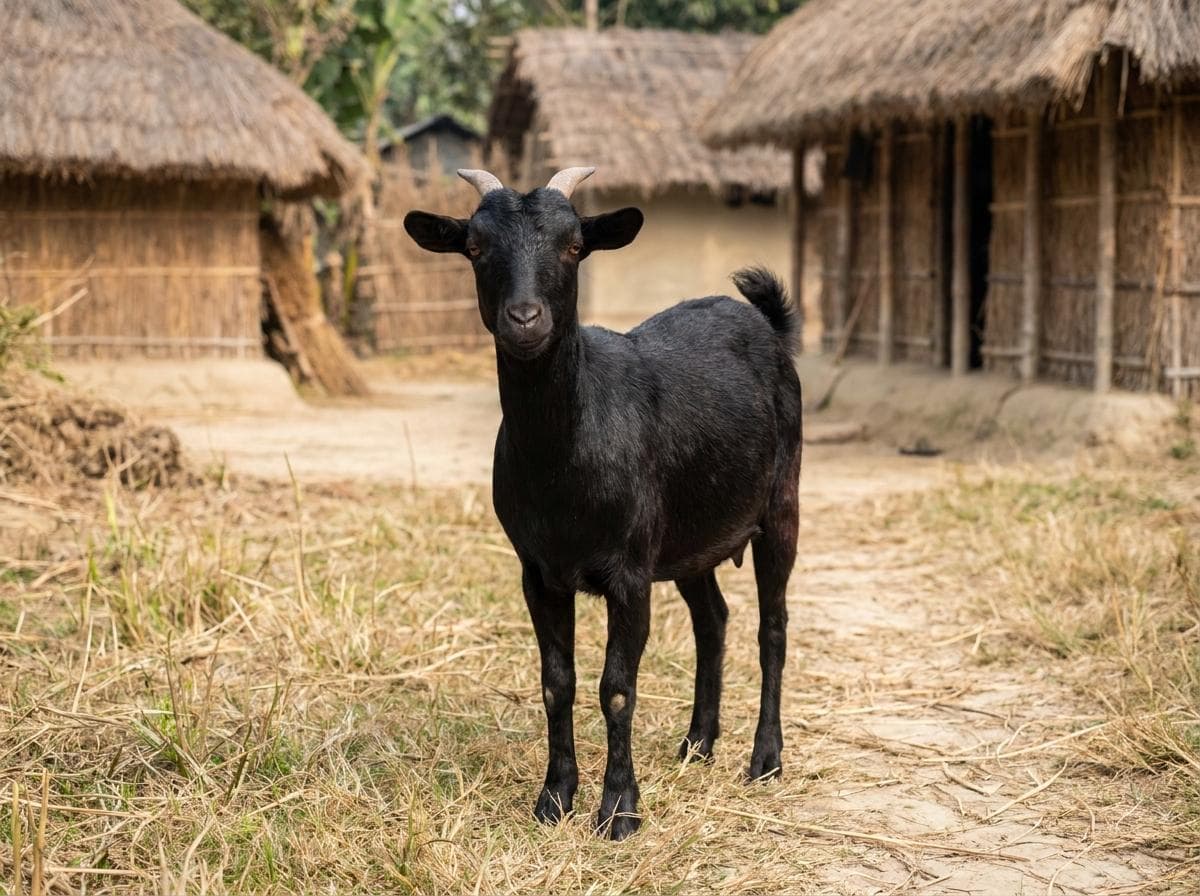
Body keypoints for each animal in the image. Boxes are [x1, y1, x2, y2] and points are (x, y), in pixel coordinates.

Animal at [404, 167, 802, 840]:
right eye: (476, 247)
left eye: (573, 246)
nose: (525, 318)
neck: (564, 463)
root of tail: (764, 324)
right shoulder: (538, 571)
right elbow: (555, 683)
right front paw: (555, 798)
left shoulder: (630, 570)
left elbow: (616, 687)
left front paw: (619, 809)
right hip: (691, 536)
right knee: (713, 619)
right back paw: (697, 744)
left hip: (781, 505)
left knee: (770, 626)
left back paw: (764, 760)